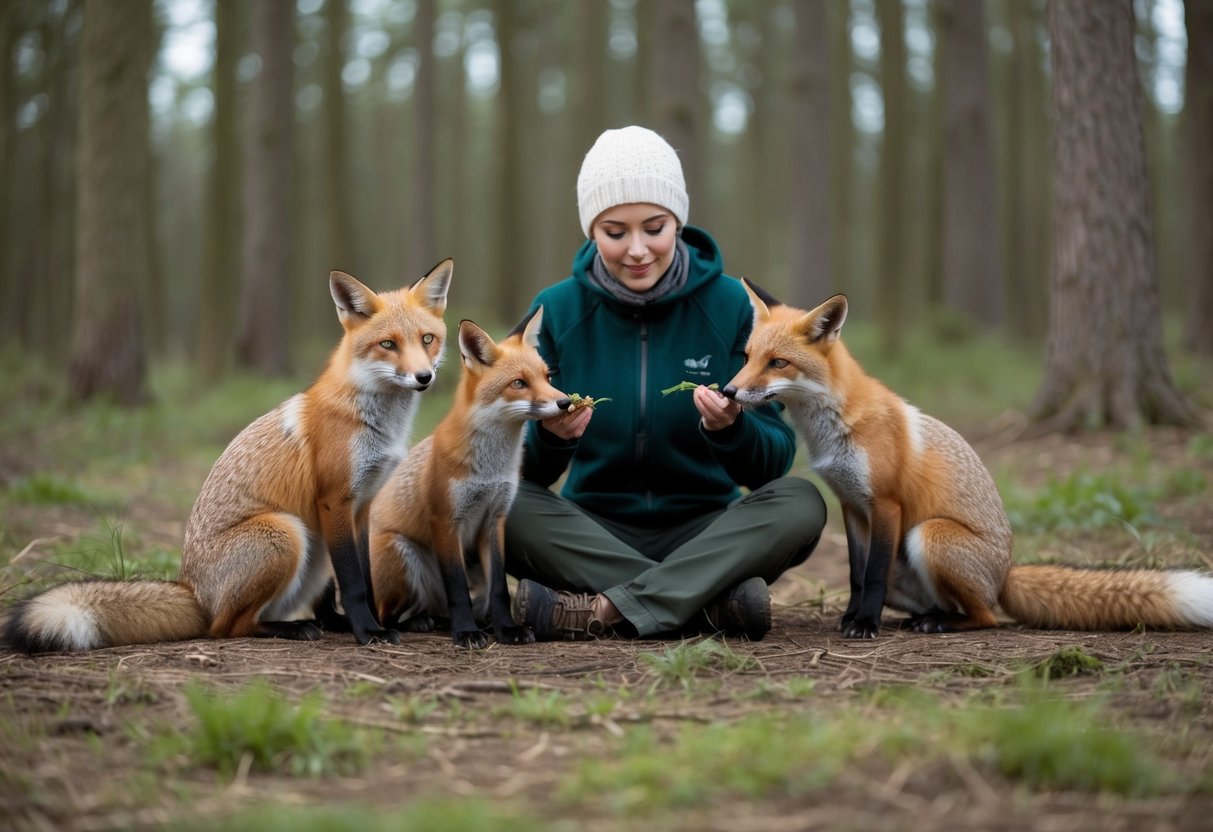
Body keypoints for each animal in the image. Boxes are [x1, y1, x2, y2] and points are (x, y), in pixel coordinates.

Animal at [4, 260, 454, 653]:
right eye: (388, 344)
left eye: (427, 340)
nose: (424, 377)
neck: (375, 421)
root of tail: (192, 590)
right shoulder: (336, 500)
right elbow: (356, 584)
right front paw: (369, 632)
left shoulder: (363, 506)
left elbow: (368, 579)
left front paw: (377, 624)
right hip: (285, 531)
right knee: (228, 627)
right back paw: (290, 629)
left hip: (312, 548)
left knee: (310, 609)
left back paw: (332, 623)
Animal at [368, 307, 570, 649]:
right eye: (519, 383)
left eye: (547, 377)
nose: (566, 402)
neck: (491, 468)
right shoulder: (446, 519)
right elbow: (457, 588)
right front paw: (465, 633)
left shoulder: (495, 519)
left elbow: (500, 589)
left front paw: (507, 630)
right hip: (399, 552)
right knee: (389, 615)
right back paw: (423, 623)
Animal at [723, 280, 1213, 639]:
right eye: (747, 357)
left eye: (778, 362)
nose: (728, 391)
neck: (833, 427)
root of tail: (1006, 573)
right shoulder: (851, 506)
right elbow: (857, 575)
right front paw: (851, 617)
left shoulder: (886, 504)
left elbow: (873, 575)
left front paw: (864, 624)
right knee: (947, 604)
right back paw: (921, 618)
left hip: (928, 535)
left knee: (988, 616)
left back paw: (939, 624)